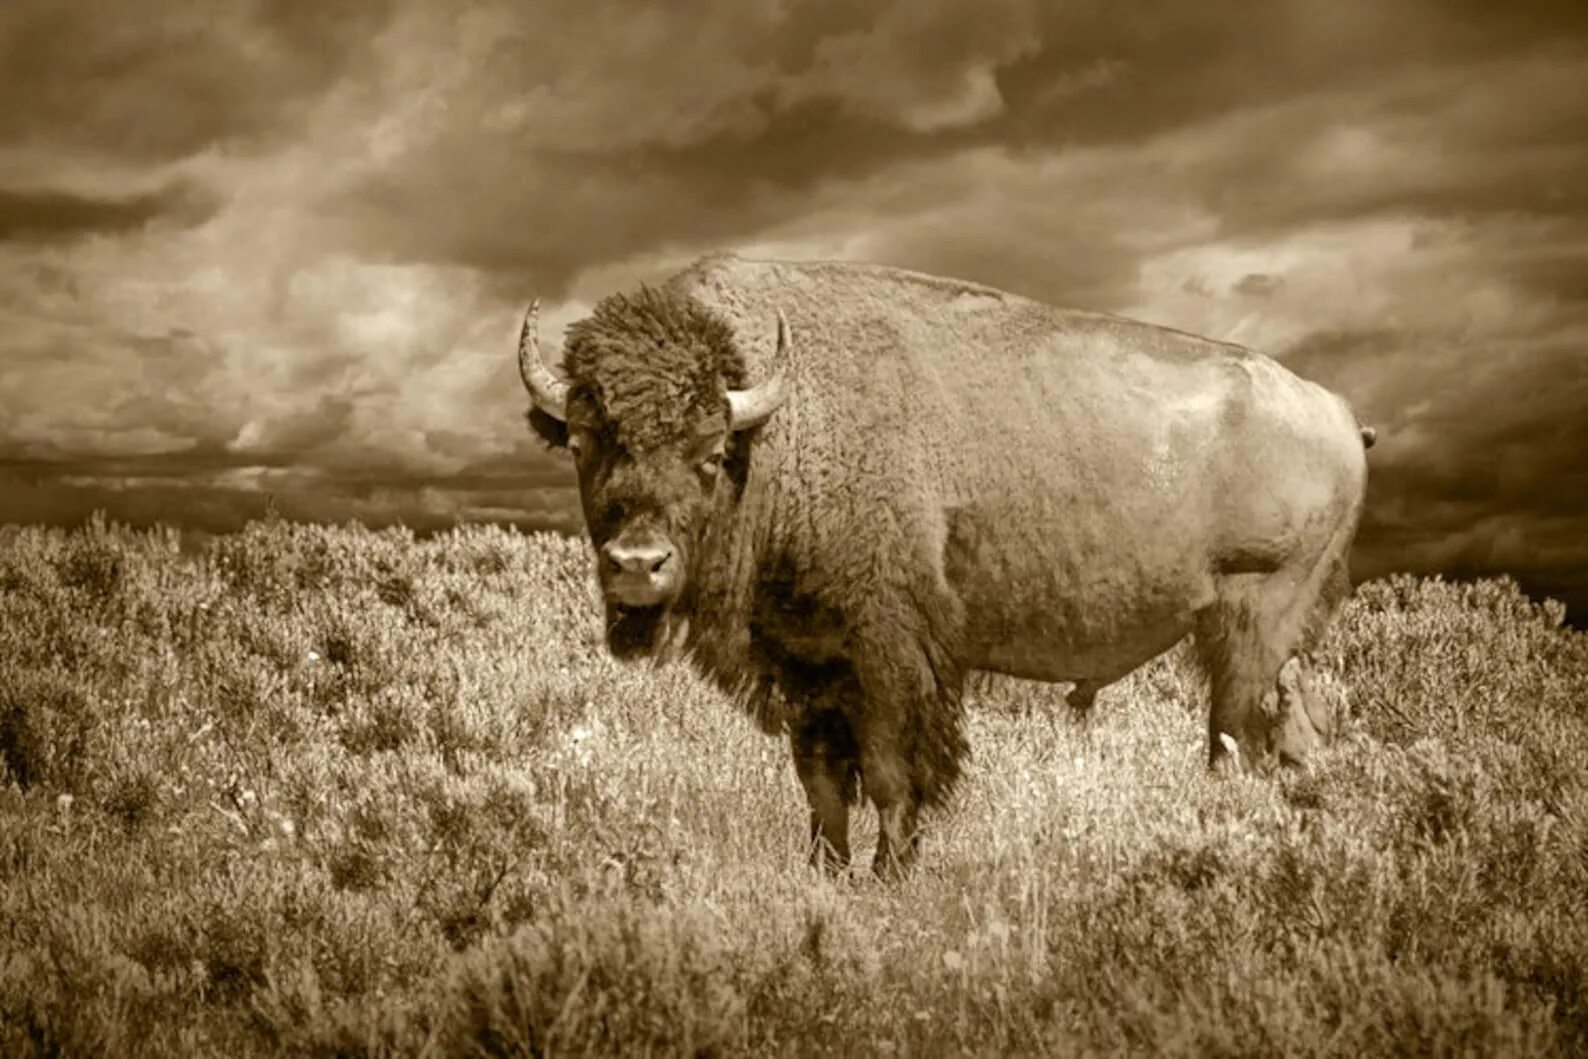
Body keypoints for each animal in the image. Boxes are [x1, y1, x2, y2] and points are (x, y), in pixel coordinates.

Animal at [520, 250, 1378, 876]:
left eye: (708, 450)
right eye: (585, 441)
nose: (638, 564)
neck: (783, 426)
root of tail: (1337, 412)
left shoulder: (890, 655)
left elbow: (892, 772)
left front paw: (893, 873)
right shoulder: (806, 663)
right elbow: (822, 781)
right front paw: (827, 871)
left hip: (1250, 625)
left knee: (1237, 741)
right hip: (1276, 642)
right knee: (1293, 735)